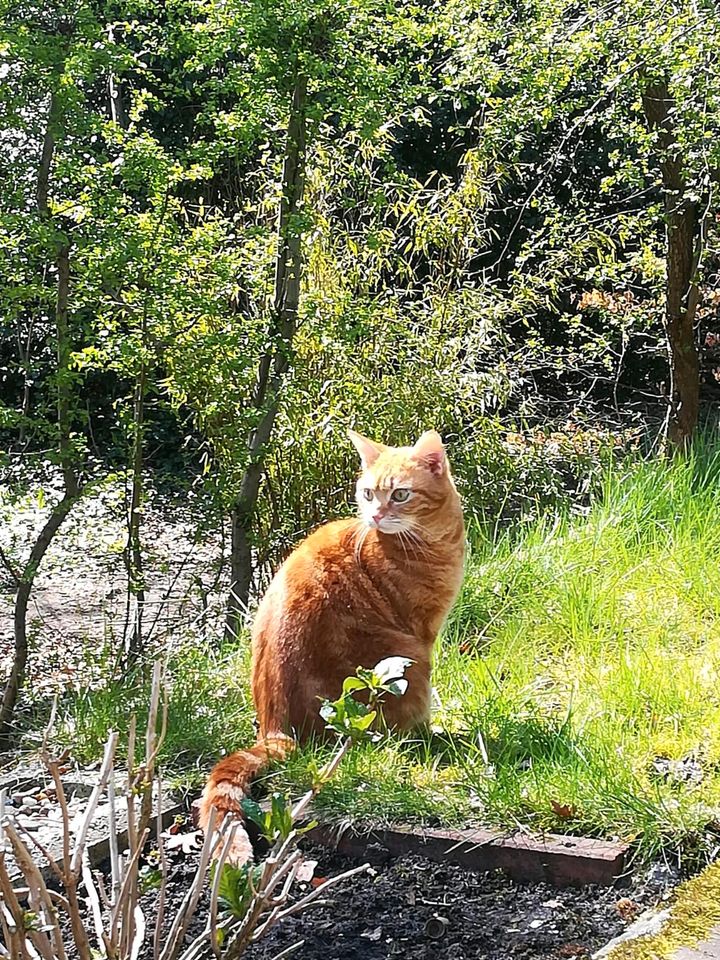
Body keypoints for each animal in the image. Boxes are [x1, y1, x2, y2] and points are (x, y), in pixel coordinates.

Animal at [200, 432, 464, 860]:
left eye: (401, 495)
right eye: (369, 493)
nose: (376, 516)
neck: (435, 536)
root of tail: (275, 729)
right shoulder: (423, 633)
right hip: (408, 665)